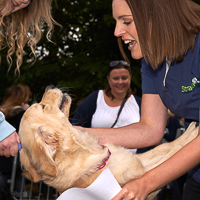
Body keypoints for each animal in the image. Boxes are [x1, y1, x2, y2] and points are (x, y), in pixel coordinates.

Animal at [18, 85, 198, 198]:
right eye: (42, 107)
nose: (49, 85)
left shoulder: (138, 160)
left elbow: (166, 146)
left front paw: (188, 133)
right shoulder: (144, 173)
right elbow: (174, 153)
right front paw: (194, 133)